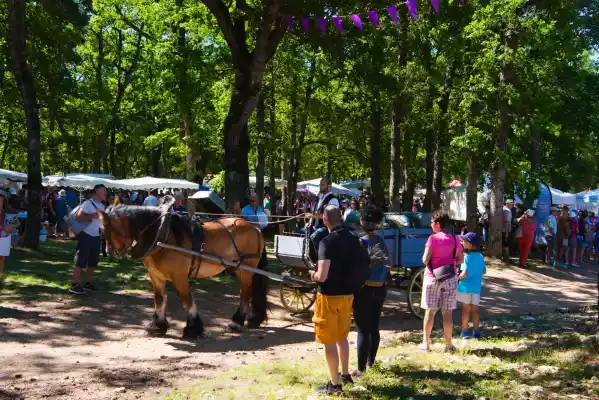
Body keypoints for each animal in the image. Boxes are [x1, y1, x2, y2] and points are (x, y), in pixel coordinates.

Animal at [99, 197, 268, 338]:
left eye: (105, 230)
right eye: (101, 231)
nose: (109, 252)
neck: (162, 234)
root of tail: (254, 228)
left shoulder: (179, 276)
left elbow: (187, 300)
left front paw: (192, 328)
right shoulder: (155, 275)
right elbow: (159, 299)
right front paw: (157, 326)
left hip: (246, 270)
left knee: (245, 295)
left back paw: (236, 323)